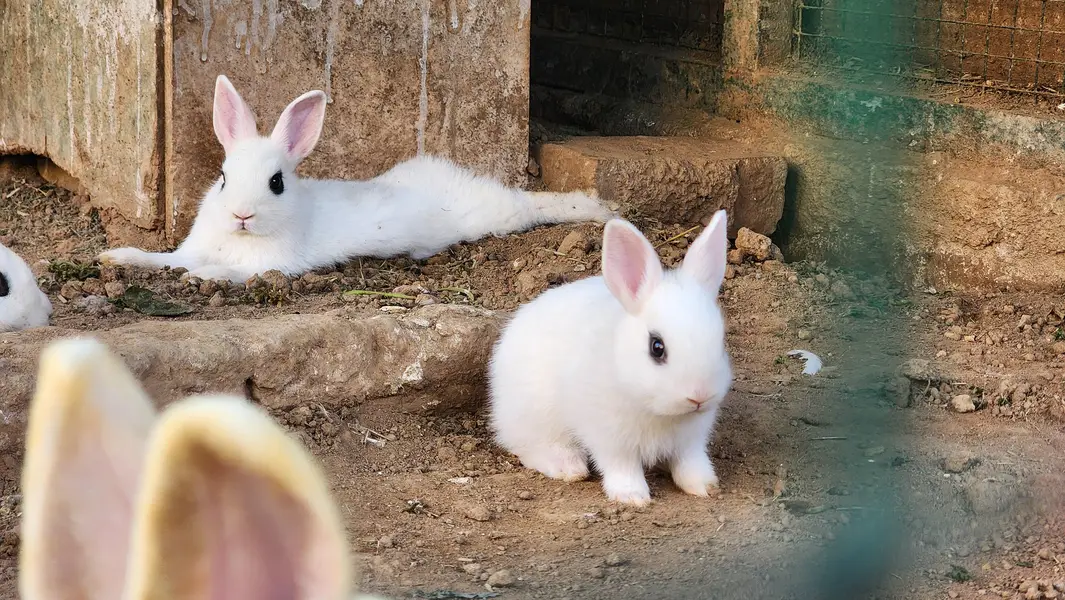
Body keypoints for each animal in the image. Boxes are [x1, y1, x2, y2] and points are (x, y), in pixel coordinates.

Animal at [98, 74, 612, 283]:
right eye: (223, 178)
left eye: (276, 183)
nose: (242, 215)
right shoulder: (187, 248)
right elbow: (163, 259)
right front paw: (115, 257)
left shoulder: (273, 266)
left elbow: (230, 272)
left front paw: (206, 276)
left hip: (496, 214)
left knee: (528, 206)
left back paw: (596, 209)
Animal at [487, 210, 733, 507]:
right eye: (657, 347)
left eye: (720, 341)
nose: (699, 396)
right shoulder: (610, 437)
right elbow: (621, 465)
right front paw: (632, 497)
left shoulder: (690, 440)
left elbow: (690, 462)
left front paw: (705, 487)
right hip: (535, 414)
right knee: (526, 446)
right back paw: (569, 466)